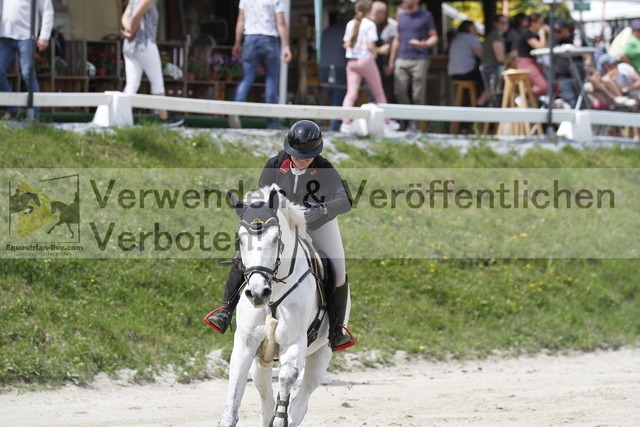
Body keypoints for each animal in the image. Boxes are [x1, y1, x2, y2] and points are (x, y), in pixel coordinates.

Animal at [217, 185, 339, 427]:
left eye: (275, 239)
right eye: (240, 240)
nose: (257, 293)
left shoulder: (294, 342)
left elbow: (287, 376)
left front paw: (281, 418)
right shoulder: (247, 343)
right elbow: (235, 386)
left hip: (322, 353)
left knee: (302, 398)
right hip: (262, 361)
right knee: (265, 397)